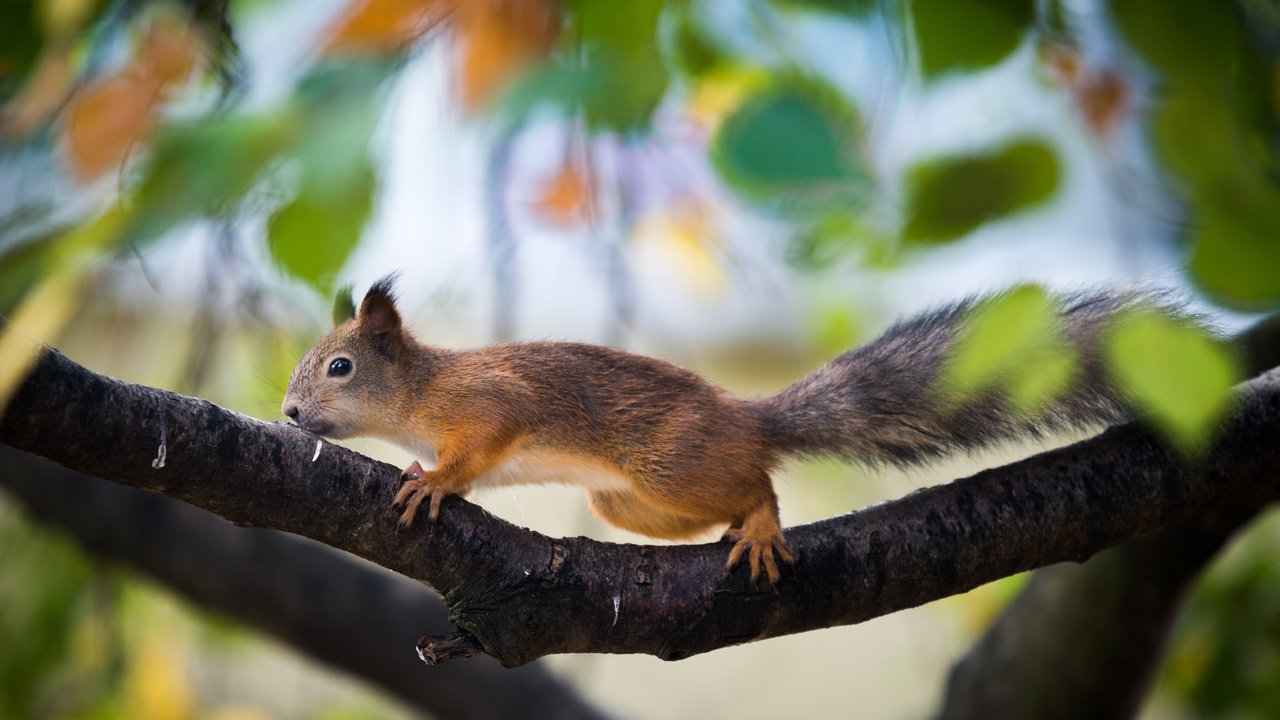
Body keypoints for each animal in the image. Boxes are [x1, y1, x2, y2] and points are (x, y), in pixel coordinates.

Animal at [285, 274, 1146, 584]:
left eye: (340, 368)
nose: (288, 416)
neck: (418, 393)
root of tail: (749, 418)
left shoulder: (490, 403)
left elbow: (475, 451)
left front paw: (432, 484)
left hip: (673, 464)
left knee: (759, 481)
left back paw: (760, 523)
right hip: (627, 502)